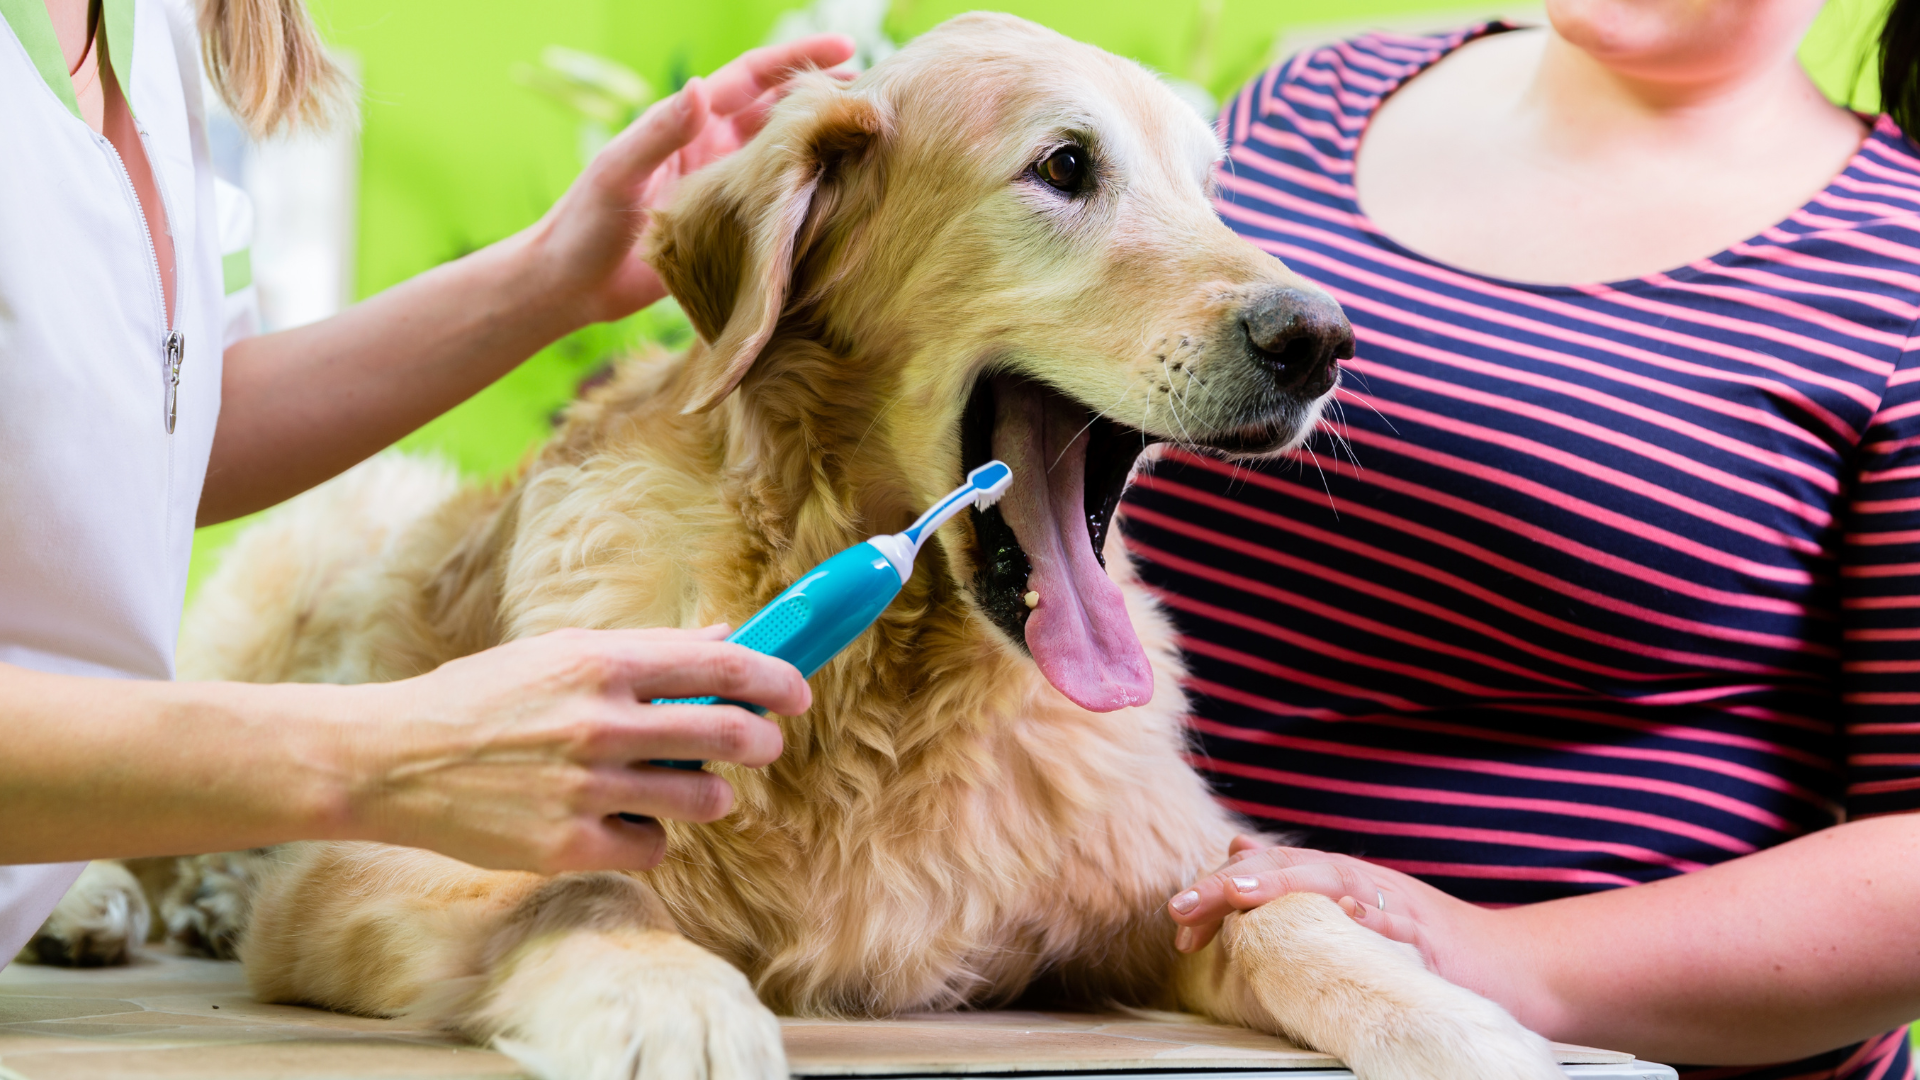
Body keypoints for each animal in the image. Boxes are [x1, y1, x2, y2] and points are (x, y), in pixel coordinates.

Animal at [176, 14, 1559, 1076]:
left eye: (1209, 188)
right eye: (1065, 165)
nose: (1322, 338)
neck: (895, 673)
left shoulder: (1149, 874)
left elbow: (1292, 919)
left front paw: (1449, 1019)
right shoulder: (362, 864)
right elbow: (577, 884)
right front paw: (668, 1003)